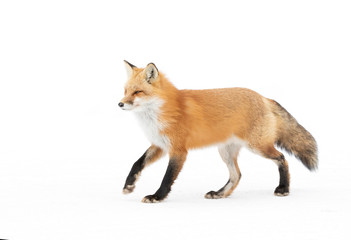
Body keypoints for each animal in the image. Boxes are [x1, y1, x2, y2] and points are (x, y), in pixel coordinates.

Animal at [119, 60, 318, 202]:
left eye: (137, 92)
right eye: (125, 91)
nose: (120, 104)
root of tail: (263, 97)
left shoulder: (178, 150)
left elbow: (167, 177)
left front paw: (157, 196)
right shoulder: (160, 145)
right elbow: (137, 163)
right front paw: (129, 185)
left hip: (258, 146)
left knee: (282, 159)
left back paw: (283, 188)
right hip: (225, 151)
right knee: (237, 175)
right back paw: (220, 193)